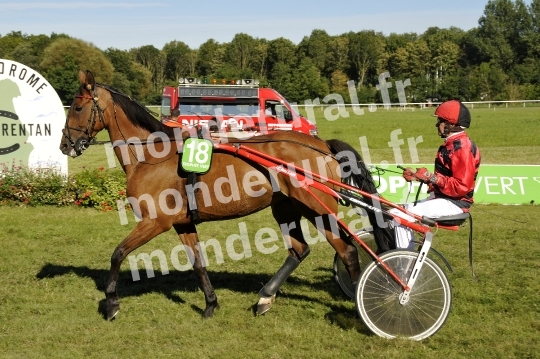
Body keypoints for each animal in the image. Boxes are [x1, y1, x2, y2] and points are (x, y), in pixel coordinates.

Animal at [61, 69, 392, 320]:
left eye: (77, 107)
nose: (66, 144)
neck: (153, 156)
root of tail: (322, 146)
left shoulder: (155, 222)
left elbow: (117, 254)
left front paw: (111, 303)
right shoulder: (183, 223)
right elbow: (198, 263)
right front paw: (210, 303)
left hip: (317, 208)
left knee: (347, 250)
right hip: (286, 207)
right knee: (299, 250)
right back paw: (265, 298)